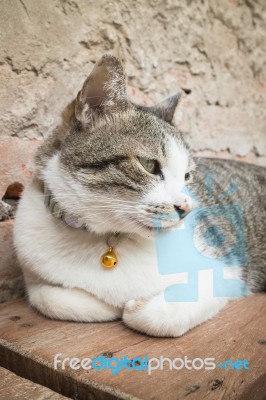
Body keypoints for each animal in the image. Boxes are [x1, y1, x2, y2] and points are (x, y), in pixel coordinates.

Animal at [14, 52, 266, 334]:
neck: (108, 237)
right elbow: (47, 297)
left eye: (187, 176)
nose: (186, 208)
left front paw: (135, 306)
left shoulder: (226, 271)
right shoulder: (33, 274)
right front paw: (110, 306)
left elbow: (156, 315)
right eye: (149, 165)